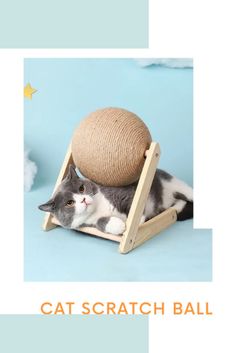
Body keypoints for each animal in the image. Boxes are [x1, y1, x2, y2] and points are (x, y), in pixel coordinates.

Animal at [39, 164, 194, 234]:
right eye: (69, 203)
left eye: (81, 188)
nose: (83, 199)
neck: (98, 209)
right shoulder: (90, 223)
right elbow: (100, 223)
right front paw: (118, 226)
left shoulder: (123, 193)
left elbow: (133, 205)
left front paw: (137, 221)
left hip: (173, 183)